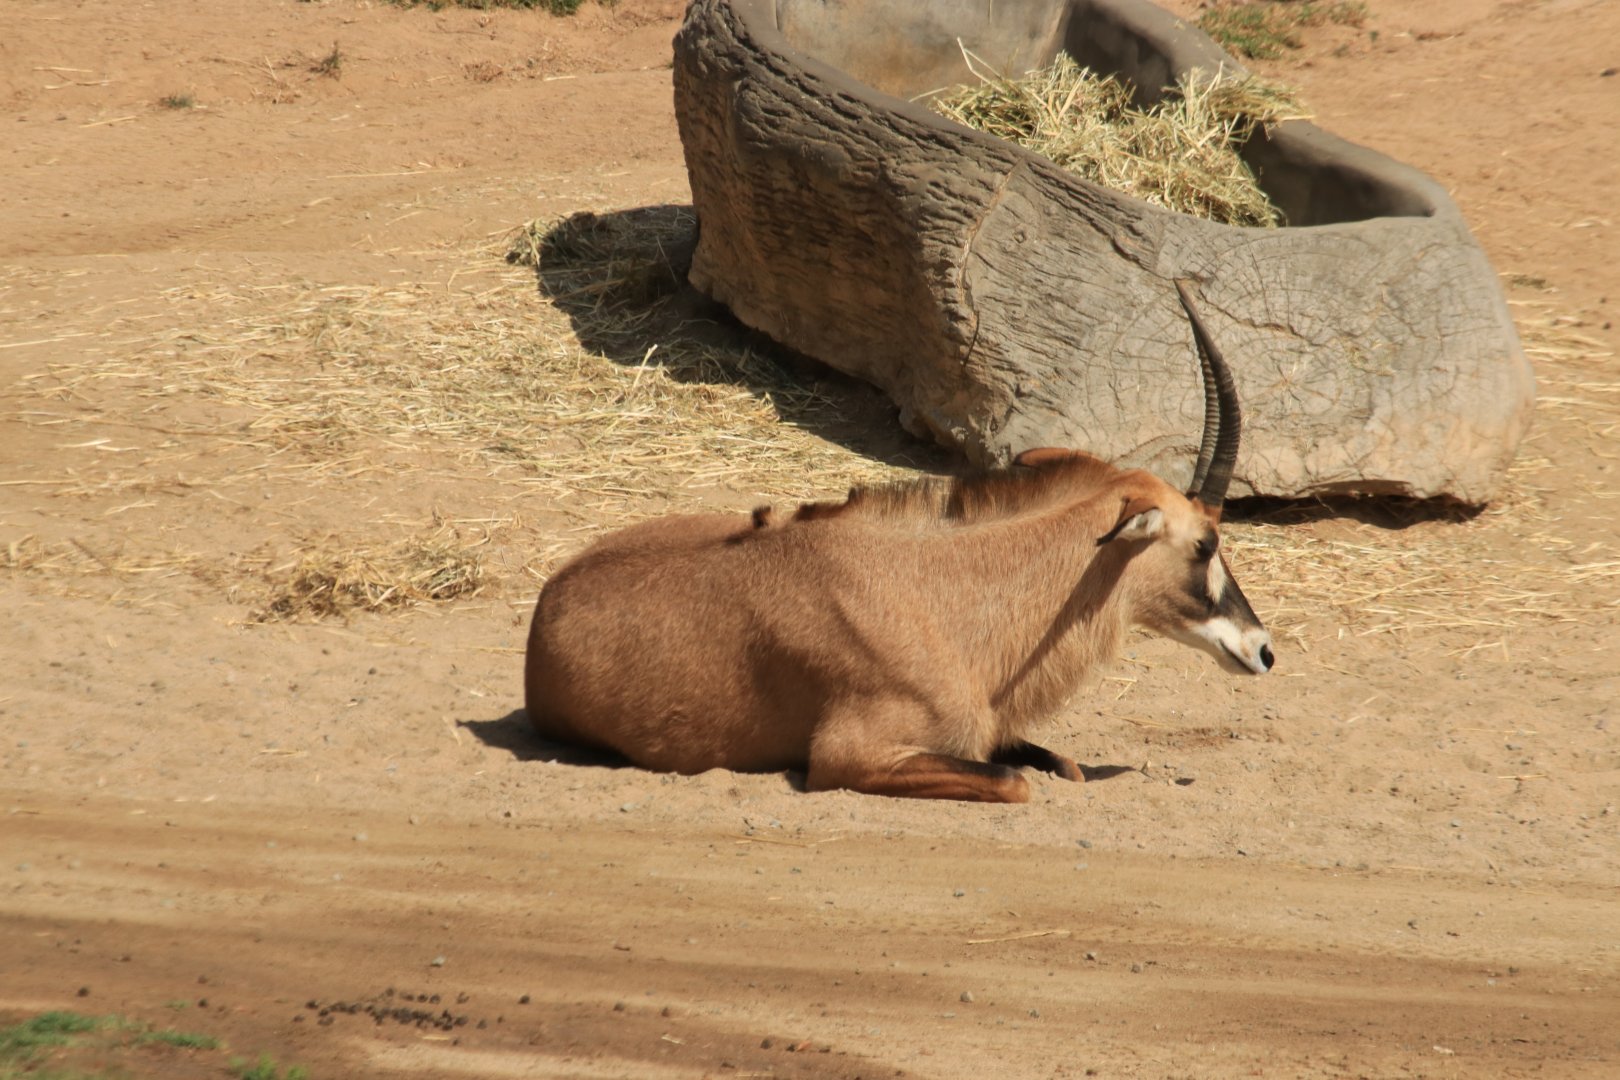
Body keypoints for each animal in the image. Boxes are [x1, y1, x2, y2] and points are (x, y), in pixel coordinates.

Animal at [524, 281, 1274, 802]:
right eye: (1205, 544)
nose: (1262, 650)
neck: (940, 592)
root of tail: (546, 609)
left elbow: (1061, 765)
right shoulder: (850, 757)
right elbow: (1015, 781)